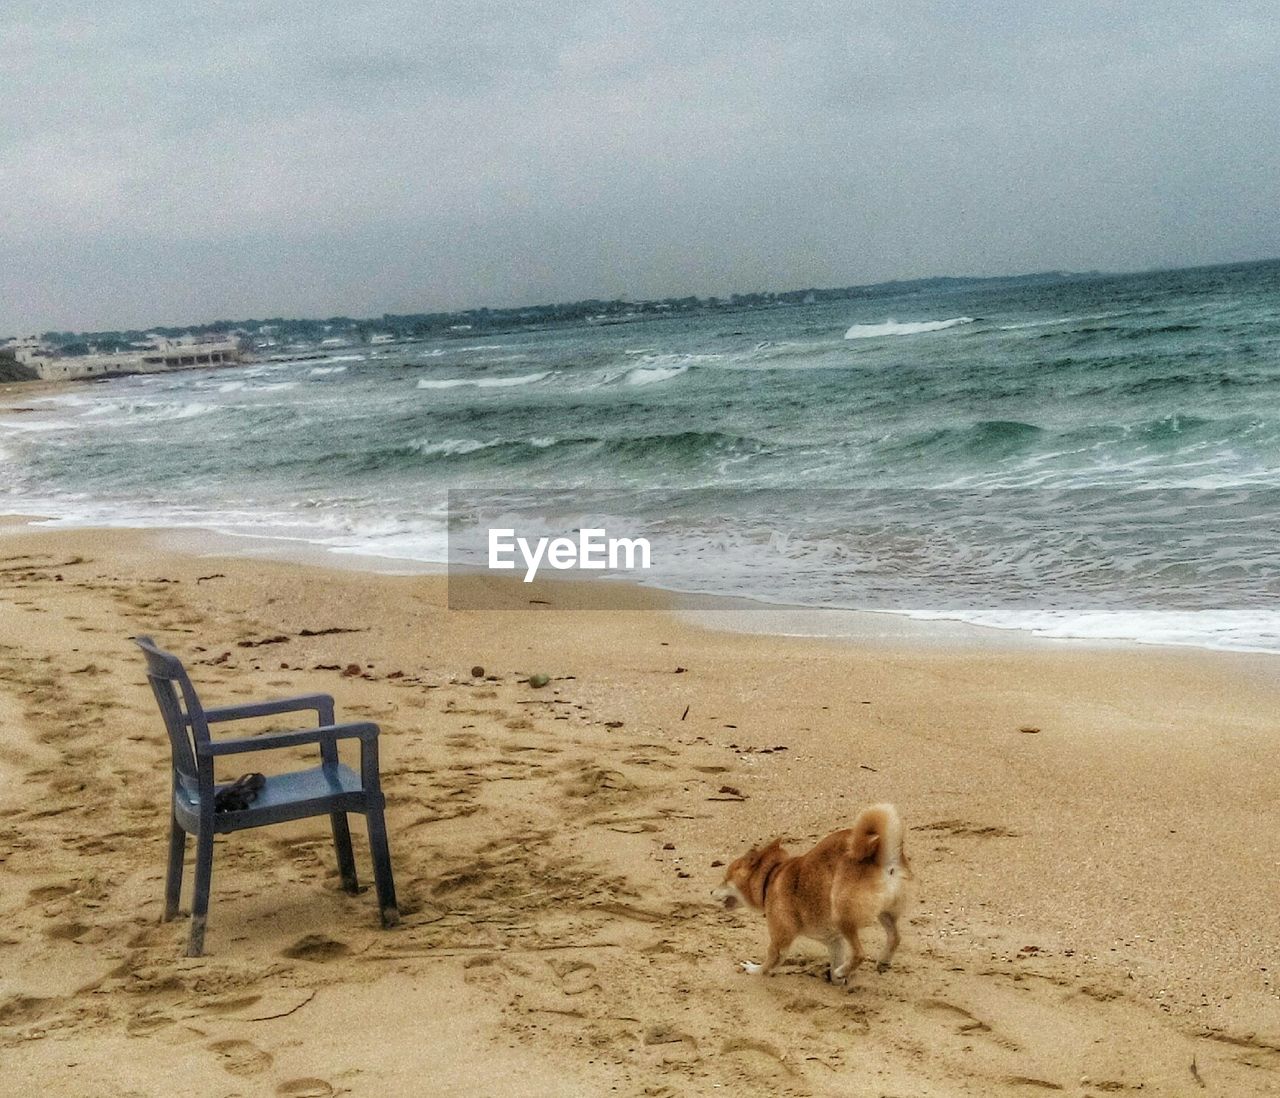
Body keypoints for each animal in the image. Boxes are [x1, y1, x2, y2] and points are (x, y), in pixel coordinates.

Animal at [711, 798, 911, 977]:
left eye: (725, 879)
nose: (711, 891)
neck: (771, 876)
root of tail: (880, 859)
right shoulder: (834, 941)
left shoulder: (781, 938)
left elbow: (769, 962)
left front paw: (753, 969)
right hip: (884, 914)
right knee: (895, 938)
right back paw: (880, 962)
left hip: (843, 916)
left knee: (860, 954)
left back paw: (844, 970)